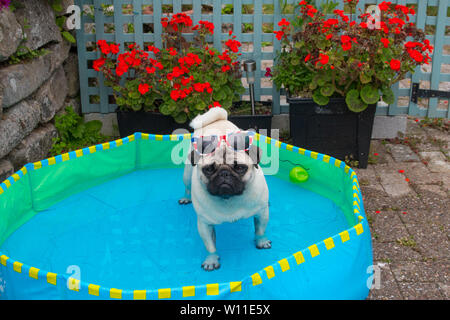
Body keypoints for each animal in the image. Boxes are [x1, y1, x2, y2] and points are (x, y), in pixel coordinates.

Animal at [178, 107, 270, 270]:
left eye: (240, 168)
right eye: (209, 169)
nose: (224, 173)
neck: (229, 199)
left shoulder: (262, 212)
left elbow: (260, 229)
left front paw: (261, 241)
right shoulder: (204, 224)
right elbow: (210, 246)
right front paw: (211, 260)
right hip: (187, 174)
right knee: (187, 186)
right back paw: (185, 198)